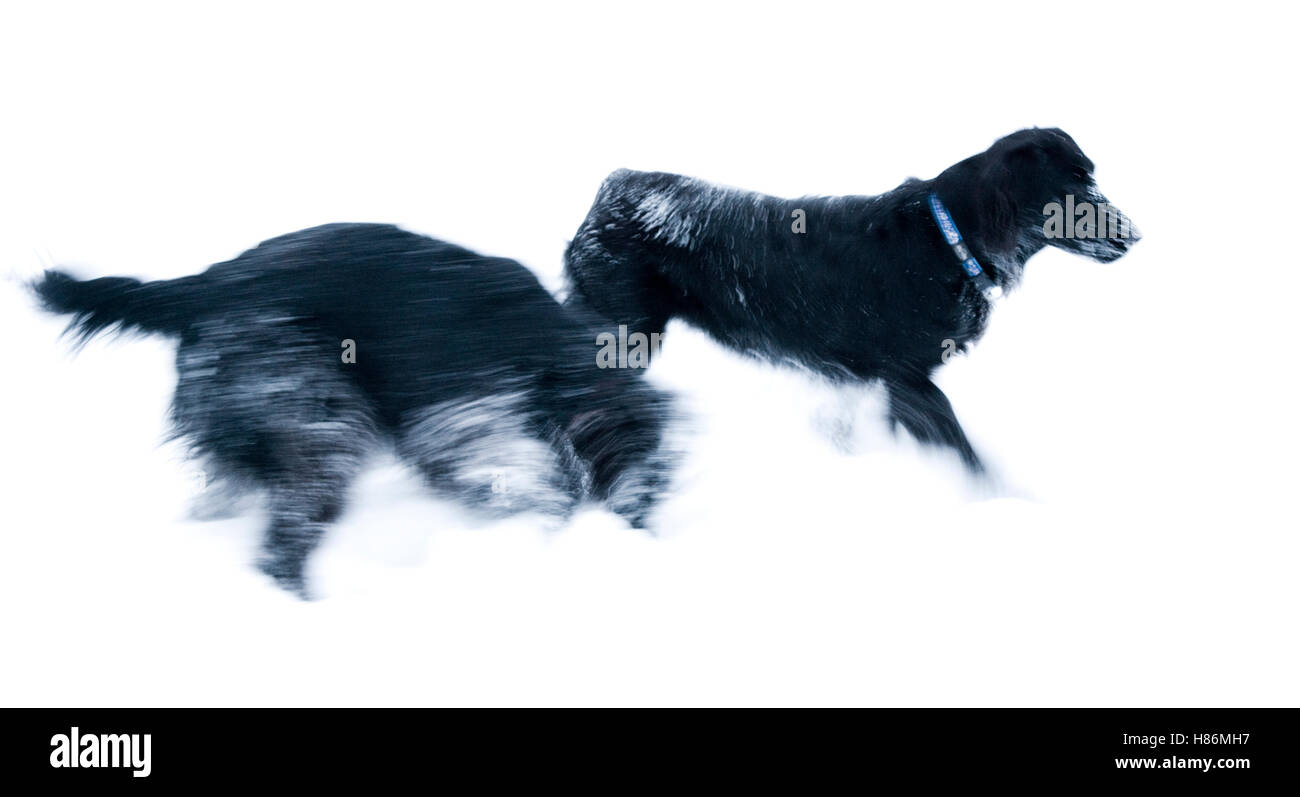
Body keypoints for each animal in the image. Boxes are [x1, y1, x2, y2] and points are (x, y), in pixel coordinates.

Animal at [35, 221, 676, 592]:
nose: (644, 528)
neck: (545, 347)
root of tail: (202, 287)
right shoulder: (469, 424)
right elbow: (528, 484)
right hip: (319, 422)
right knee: (284, 541)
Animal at [564, 127, 1133, 468]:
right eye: (1073, 184)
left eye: (1092, 176)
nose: (1135, 235)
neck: (946, 241)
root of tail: (610, 190)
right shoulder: (909, 381)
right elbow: (966, 455)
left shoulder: (891, 388)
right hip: (624, 336)